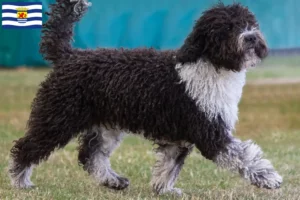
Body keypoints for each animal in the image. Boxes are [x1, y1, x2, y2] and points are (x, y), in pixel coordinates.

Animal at [8, 0, 282, 196]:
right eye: (227, 27)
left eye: (250, 23)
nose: (251, 37)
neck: (210, 65)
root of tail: (69, 55)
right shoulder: (209, 132)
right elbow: (243, 156)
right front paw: (269, 178)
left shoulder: (180, 137)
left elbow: (169, 166)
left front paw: (164, 190)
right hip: (57, 117)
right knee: (25, 147)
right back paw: (20, 182)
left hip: (106, 125)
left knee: (91, 155)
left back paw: (113, 181)